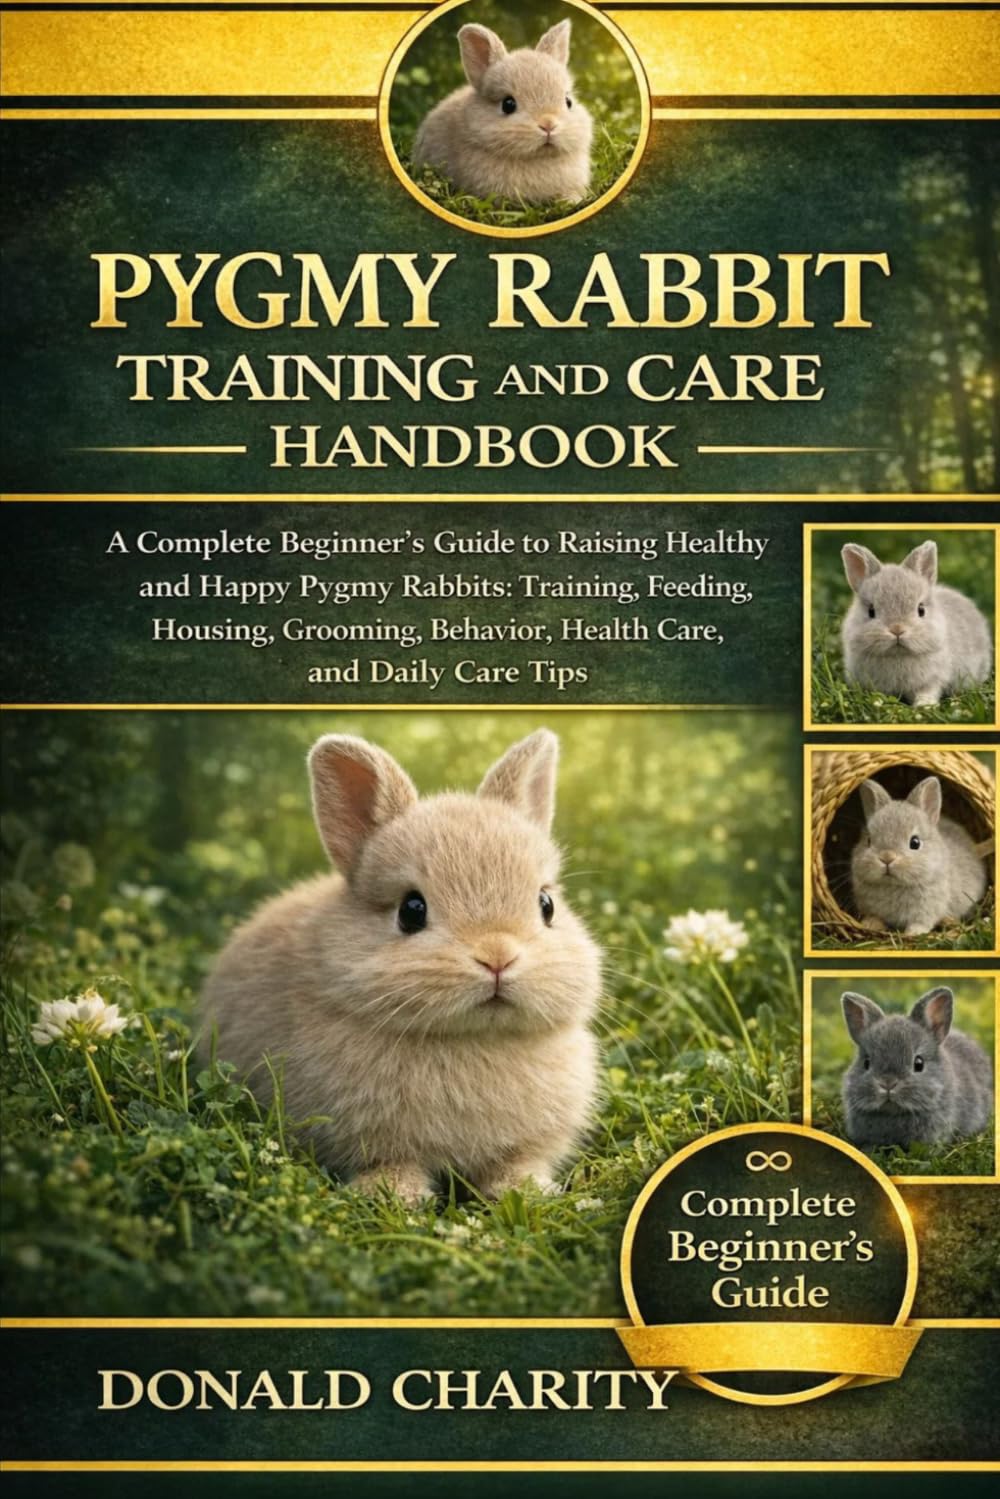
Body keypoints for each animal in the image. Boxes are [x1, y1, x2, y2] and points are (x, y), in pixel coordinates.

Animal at [201, 730, 602, 1205]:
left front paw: (525, 1189)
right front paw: (392, 1194)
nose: (497, 957)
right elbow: (391, 1162)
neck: (471, 1038)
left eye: (546, 905)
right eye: (411, 910)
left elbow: (516, 1162)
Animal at [840, 540, 992, 707]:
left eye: (921, 610)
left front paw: (924, 706)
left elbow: (928, 691)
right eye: (871, 611)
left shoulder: (933, 680)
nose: (897, 629)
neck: (898, 656)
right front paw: (878, 702)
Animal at [850, 774, 988, 936]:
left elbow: (920, 923)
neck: (894, 884)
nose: (887, 857)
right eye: (869, 840)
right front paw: (869, 924)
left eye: (915, 843)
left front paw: (912, 933)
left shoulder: (927, 910)